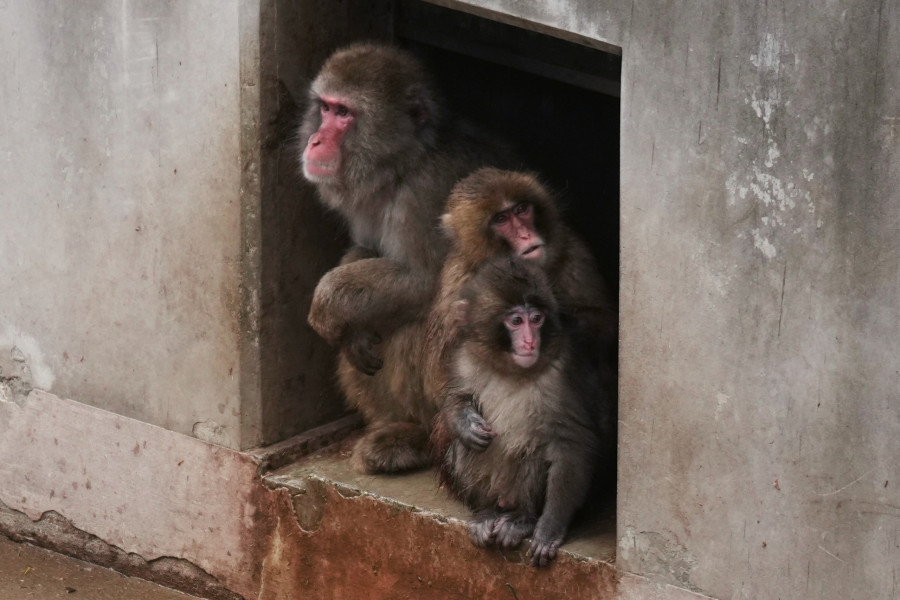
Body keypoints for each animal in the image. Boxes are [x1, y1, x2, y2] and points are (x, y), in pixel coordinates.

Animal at [298, 43, 516, 473]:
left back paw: (418, 438)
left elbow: (425, 282)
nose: (315, 140)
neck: (404, 164)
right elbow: (366, 251)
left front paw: (327, 304)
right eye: (326, 107)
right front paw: (353, 330)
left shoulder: (427, 193)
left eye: (344, 114)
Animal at [432, 257, 604, 567]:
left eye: (536, 319)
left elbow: (572, 442)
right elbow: (453, 399)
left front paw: (549, 528)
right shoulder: (465, 357)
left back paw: (522, 519)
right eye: (516, 321)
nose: (529, 342)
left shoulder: (563, 372)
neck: (509, 369)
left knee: (534, 452)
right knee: (464, 448)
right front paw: (464, 423)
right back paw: (486, 512)